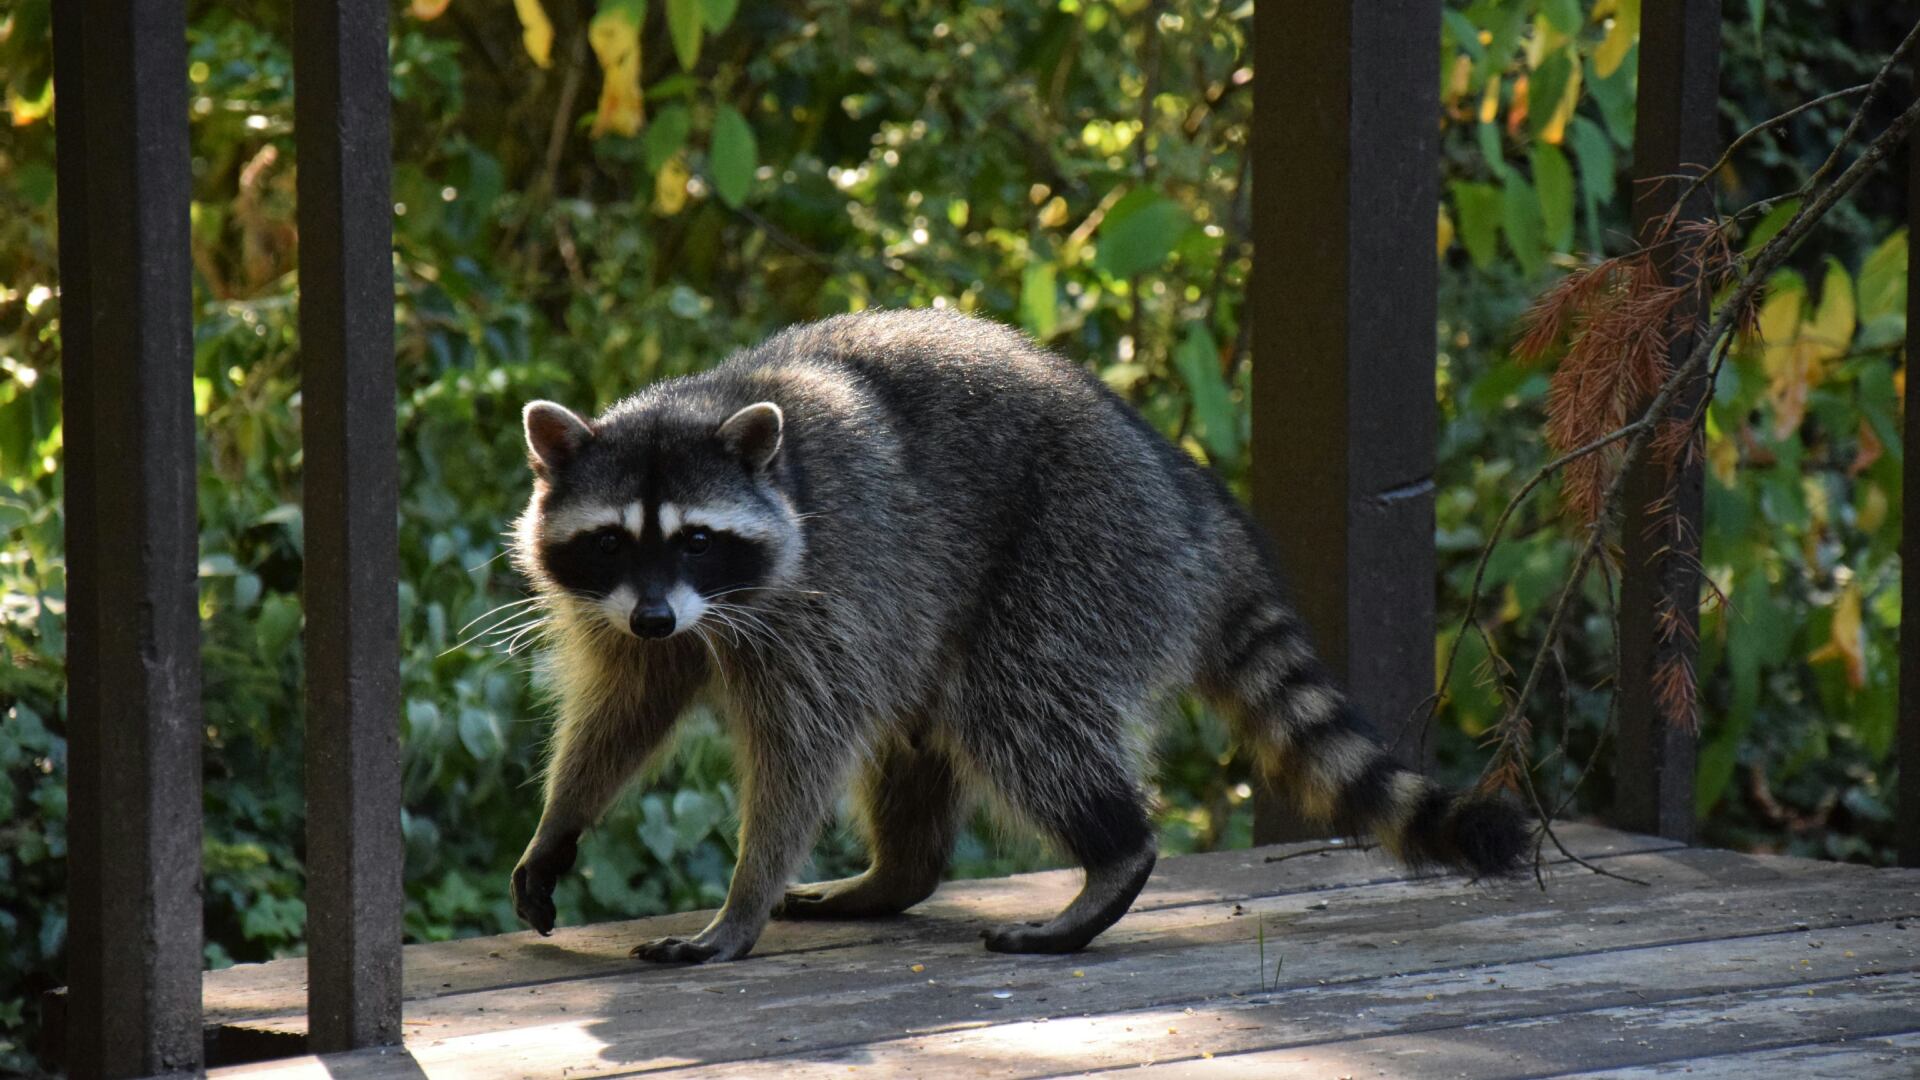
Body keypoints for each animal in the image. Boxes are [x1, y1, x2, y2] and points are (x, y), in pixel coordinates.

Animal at [507, 309, 1527, 963]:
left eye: (697, 538)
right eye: (611, 541)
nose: (654, 615)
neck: (713, 399)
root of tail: (1193, 505)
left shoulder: (827, 588)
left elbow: (803, 750)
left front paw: (741, 900)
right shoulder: (639, 613)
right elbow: (626, 709)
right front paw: (562, 820)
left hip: (1081, 551)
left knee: (1014, 708)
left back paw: (1113, 854)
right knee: (924, 728)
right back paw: (899, 873)